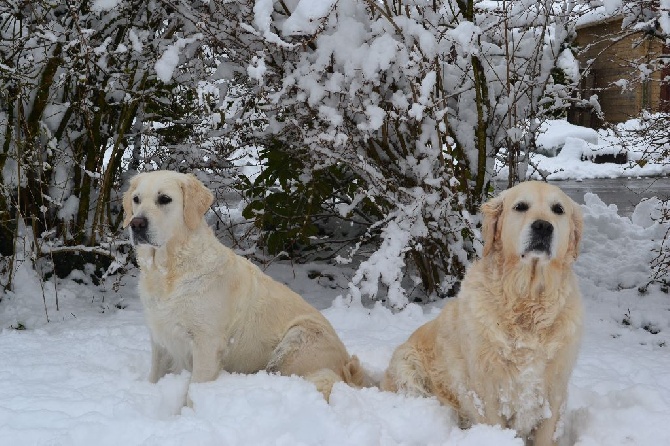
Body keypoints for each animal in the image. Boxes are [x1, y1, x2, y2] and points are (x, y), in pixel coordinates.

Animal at [123, 170, 370, 400]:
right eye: (136, 199)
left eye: (164, 199)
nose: (136, 224)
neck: (168, 272)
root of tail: (346, 366)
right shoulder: (161, 339)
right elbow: (155, 376)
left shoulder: (207, 343)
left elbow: (194, 390)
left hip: (297, 338)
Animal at [384, 181, 584, 446]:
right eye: (521, 206)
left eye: (558, 209)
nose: (543, 226)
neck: (526, 301)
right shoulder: (486, 389)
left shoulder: (553, 388)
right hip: (407, 366)